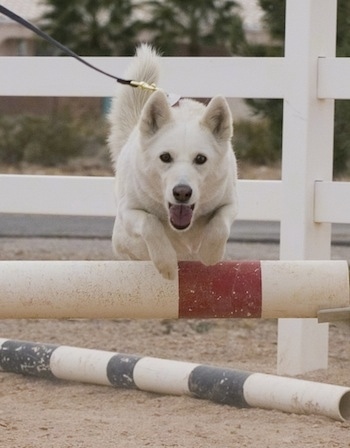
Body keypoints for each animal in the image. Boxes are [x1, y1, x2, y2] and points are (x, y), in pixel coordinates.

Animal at [108, 43, 238, 278]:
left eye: (201, 159)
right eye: (165, 157)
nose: (182, 193)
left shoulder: (230, 204)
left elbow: (219, 225)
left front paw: (210, 254)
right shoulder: (129, 212)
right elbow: (150, 223)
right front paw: (166, 263)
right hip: (123, 240)